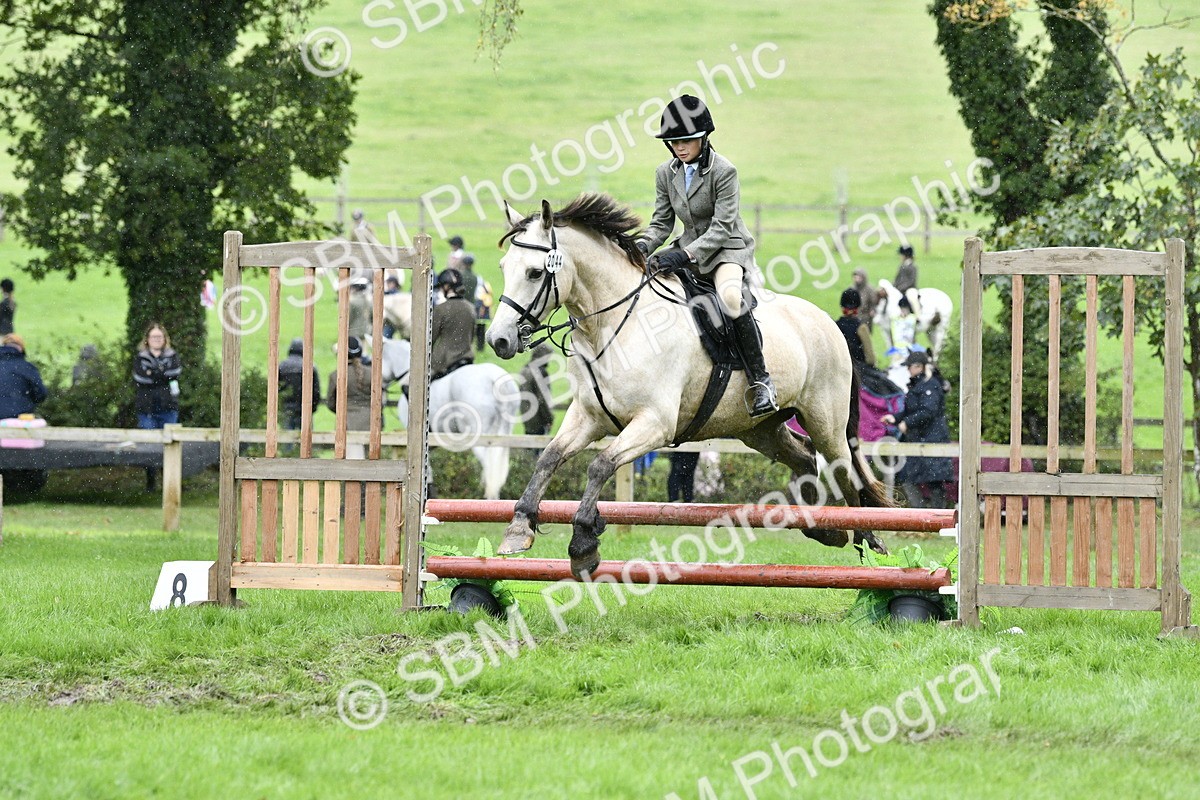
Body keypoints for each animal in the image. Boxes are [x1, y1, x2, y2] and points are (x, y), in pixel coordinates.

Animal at [373, 337, 520, 500]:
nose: (382, 397)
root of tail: (493, 378)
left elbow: (428, 470)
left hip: (480, 437)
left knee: (489, 469)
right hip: (503, 432)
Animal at [485, 194, 895, 578]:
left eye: (535, 273)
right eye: (504, 268)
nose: (498, 340)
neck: (611, 326)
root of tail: (829, 323)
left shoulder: (655, 424)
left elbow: (600, 466)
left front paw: (584, 543)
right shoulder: (589, 418)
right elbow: (548, 458)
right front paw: (519, 528)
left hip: (826, 423)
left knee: (844, 472)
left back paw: (867, 540)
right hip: (759, 429)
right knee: (804, 456)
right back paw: (823, 527)